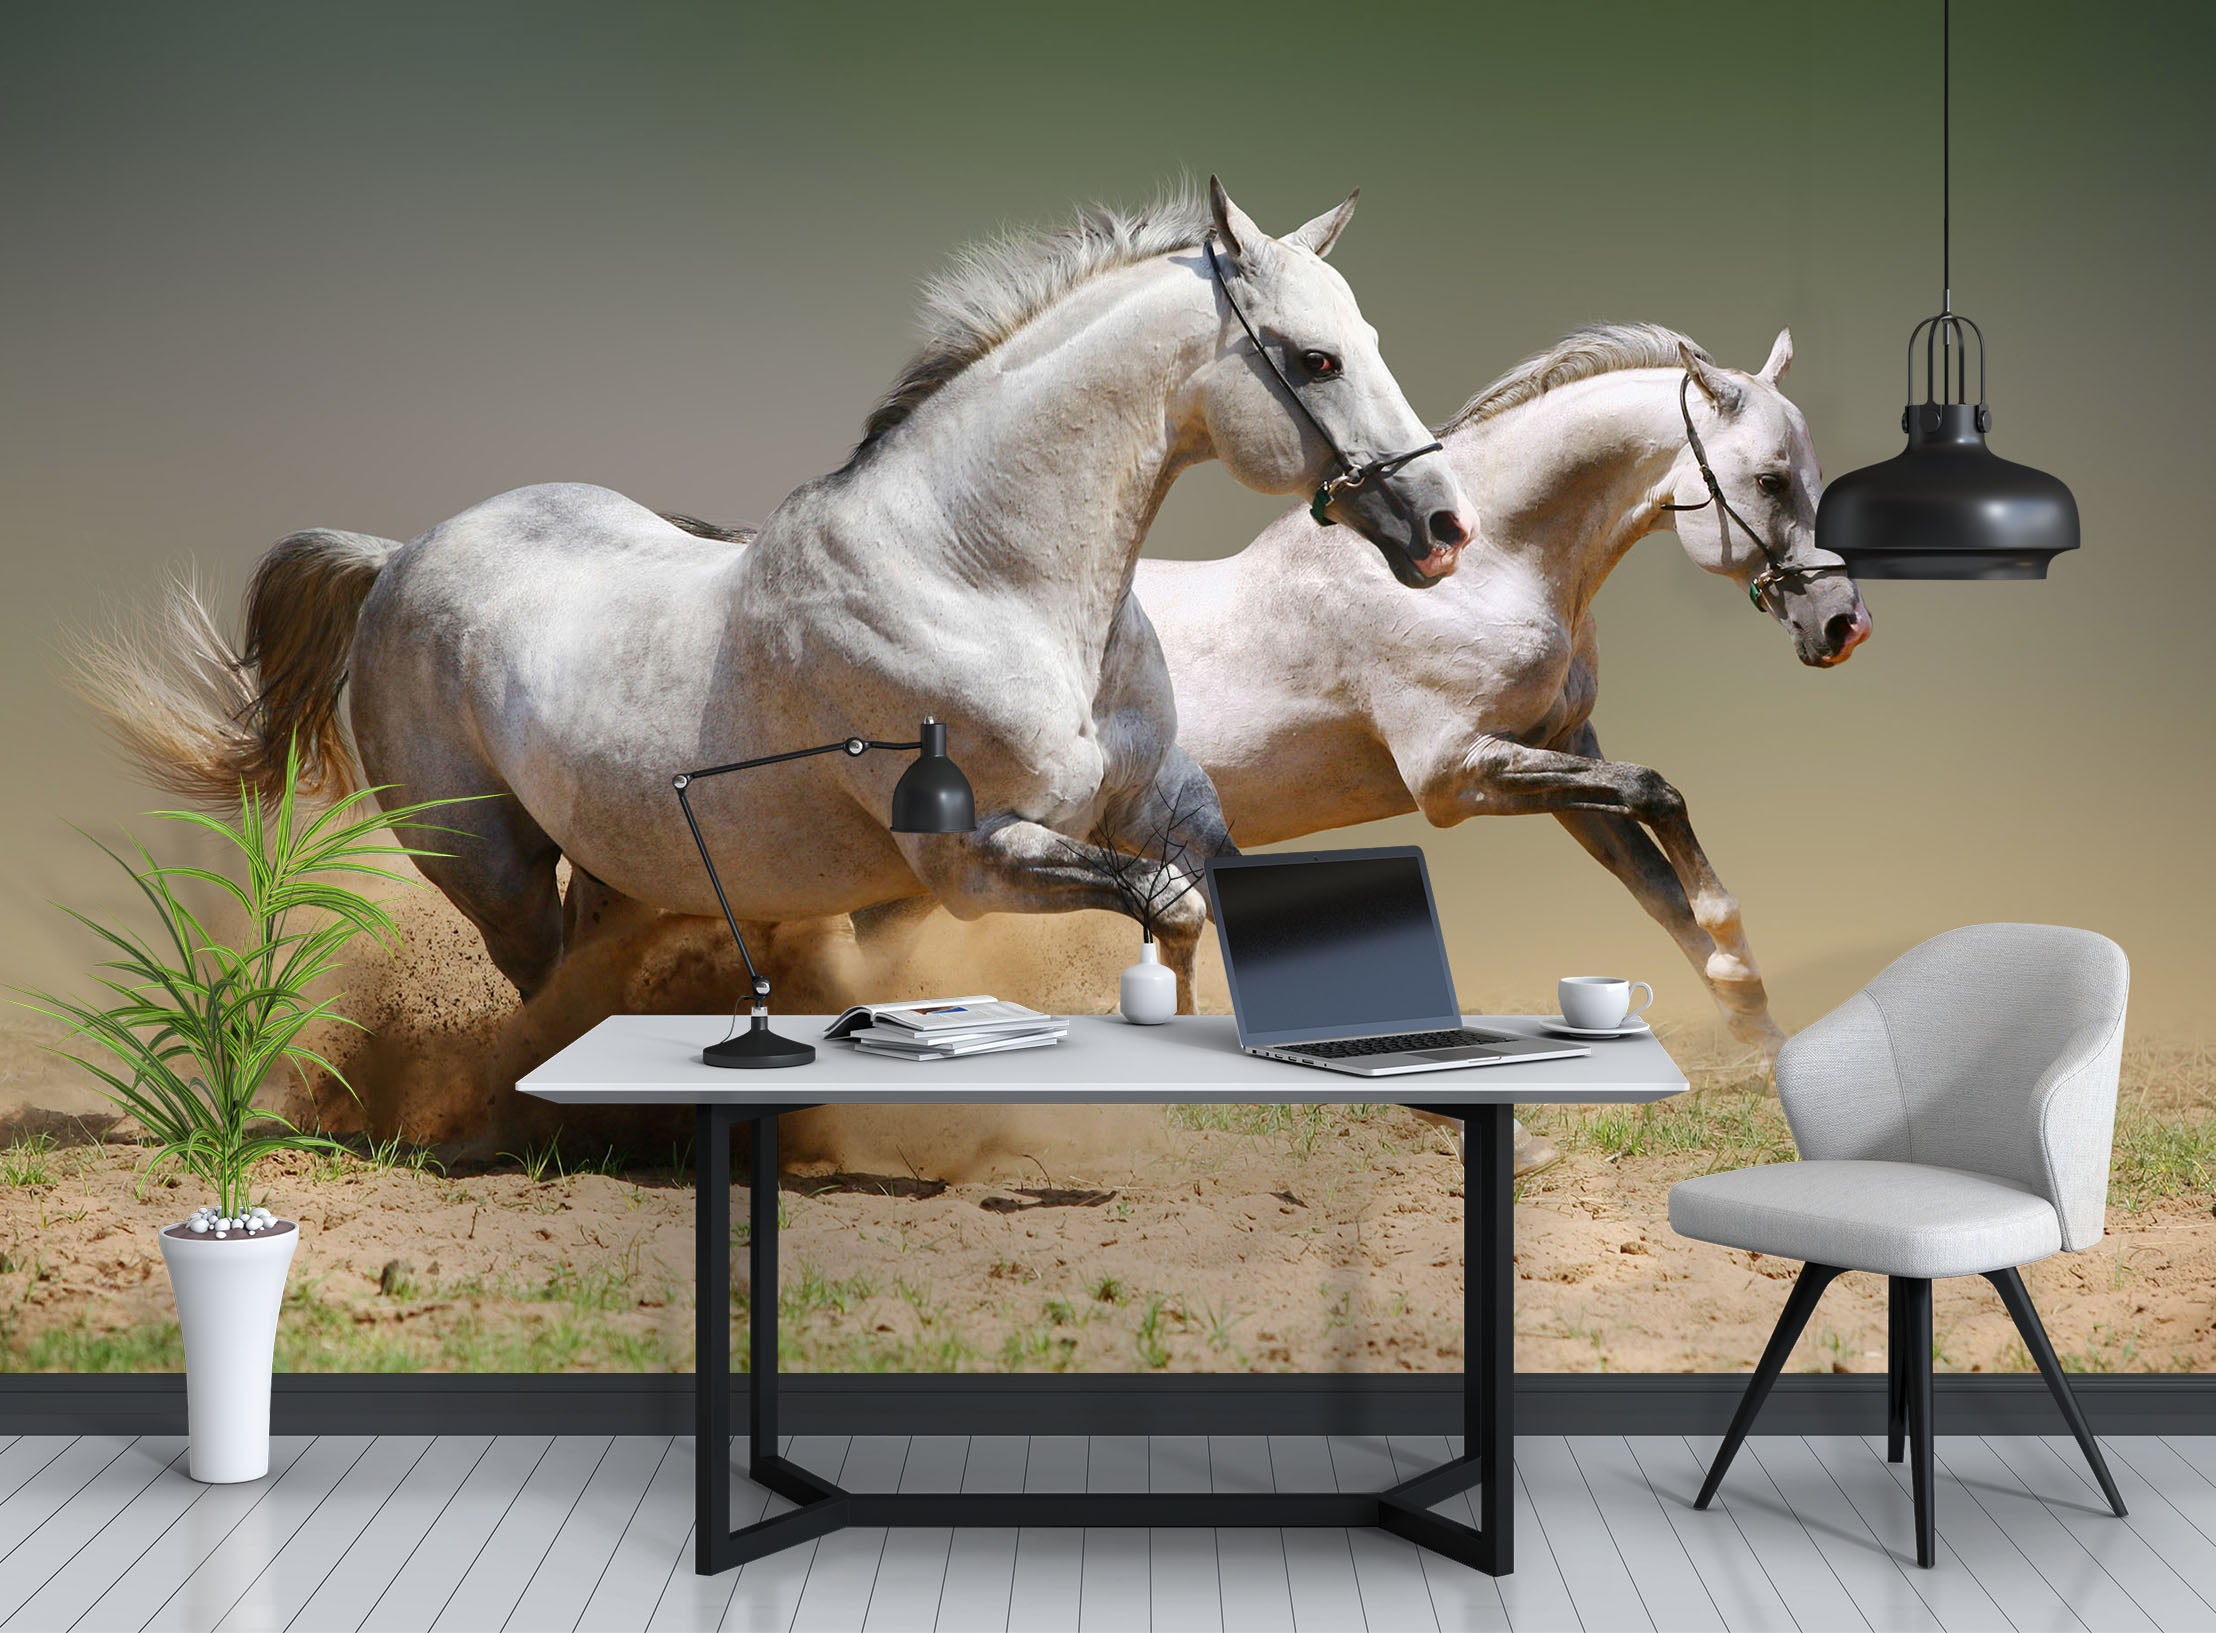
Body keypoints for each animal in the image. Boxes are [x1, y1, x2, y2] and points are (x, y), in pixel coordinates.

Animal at [81, 181, 1473, 1013]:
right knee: (537, 990)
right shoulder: (975, 856)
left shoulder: (1159, 801)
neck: (983, 578)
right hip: (485, 861)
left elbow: (1209, 899)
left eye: (1367, 340)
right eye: (1313, 359)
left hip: (616, 860)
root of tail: (400, 554)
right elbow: (1166, 905)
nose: (1442, 528)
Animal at [1138, 324, 1871, 1061]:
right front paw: (1734, 959)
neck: (1484, 569)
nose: (1845, 625)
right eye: (1771, 481)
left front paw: (1759, 1036)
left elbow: (1659, 886)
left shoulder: (1562, 751)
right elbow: (1656, 792)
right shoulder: (1455, 775)